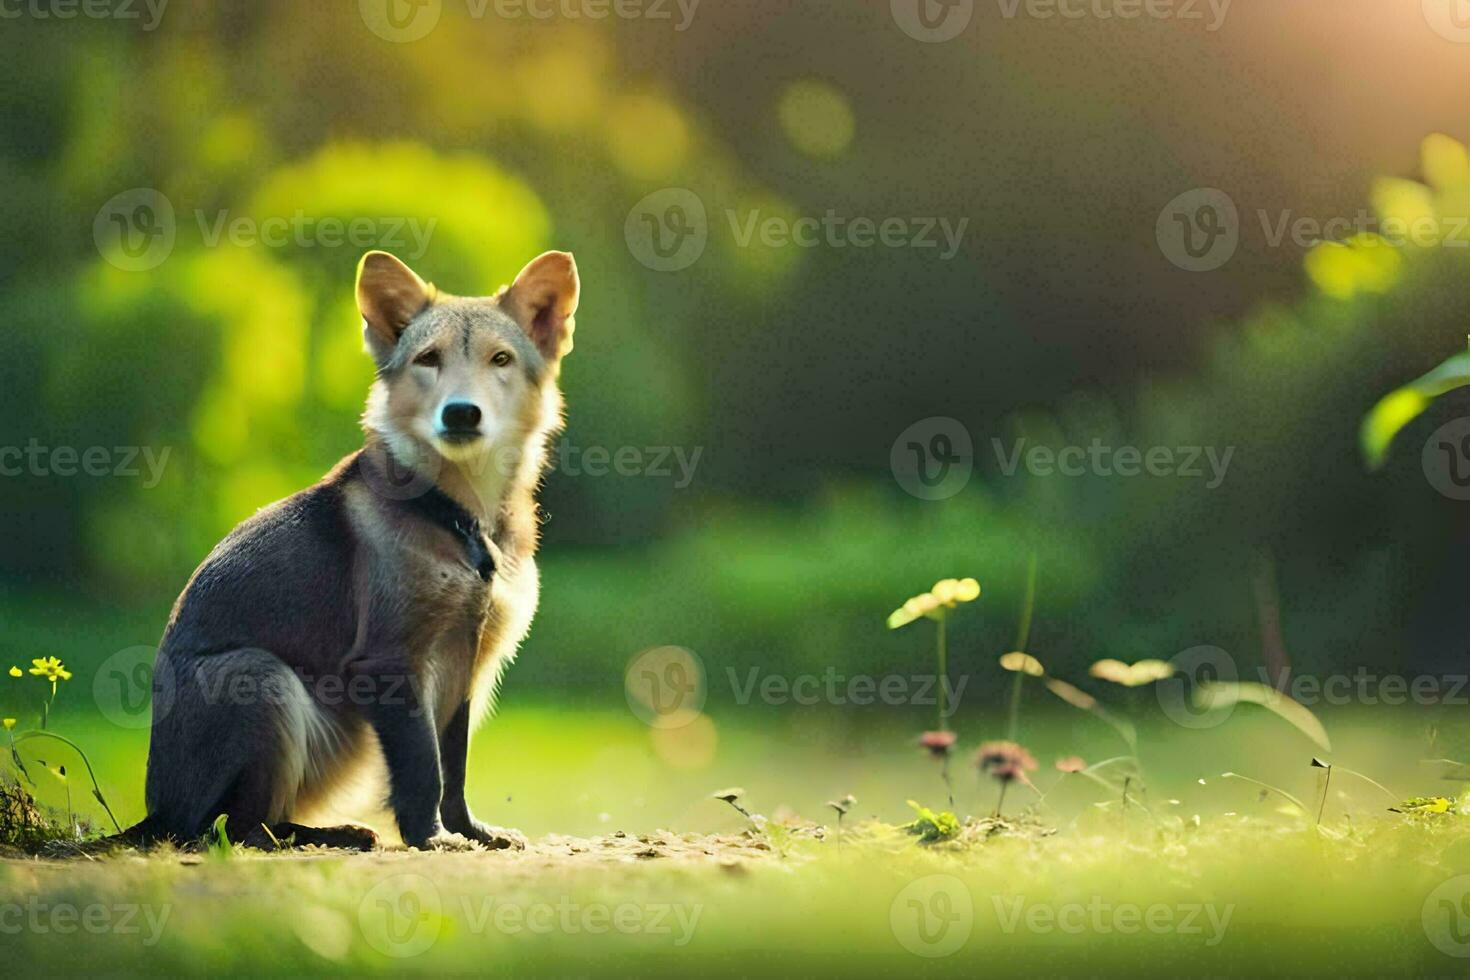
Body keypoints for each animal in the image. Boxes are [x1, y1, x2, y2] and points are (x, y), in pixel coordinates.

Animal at [133, 246, 579, 852]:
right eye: (428, 358)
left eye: (502, 359)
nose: (461, 413)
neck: (459, 515)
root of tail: (158, 810)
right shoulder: (391, 661)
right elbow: (423, 766)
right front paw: (430, 836)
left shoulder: (464, 661)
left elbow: (455, 763)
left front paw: (469, 829)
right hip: (263, 680)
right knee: (237, 828)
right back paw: (325, 835)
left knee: (255, 819)